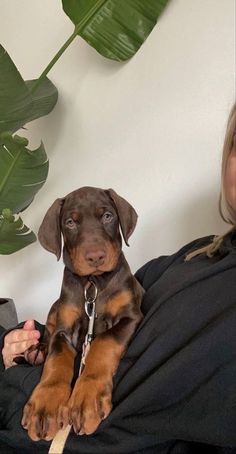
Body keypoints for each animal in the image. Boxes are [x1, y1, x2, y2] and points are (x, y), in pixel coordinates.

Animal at [22, 185, 144, 440]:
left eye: (107, 216)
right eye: (70, 222)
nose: (95, 257)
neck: (93, 283)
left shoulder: (130, 316)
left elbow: (104, 342)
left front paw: (87, 396)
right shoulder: (64, 330)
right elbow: (57, 359)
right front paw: (45, 404)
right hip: (55, 308)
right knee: (48, 334)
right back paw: (38, 350)